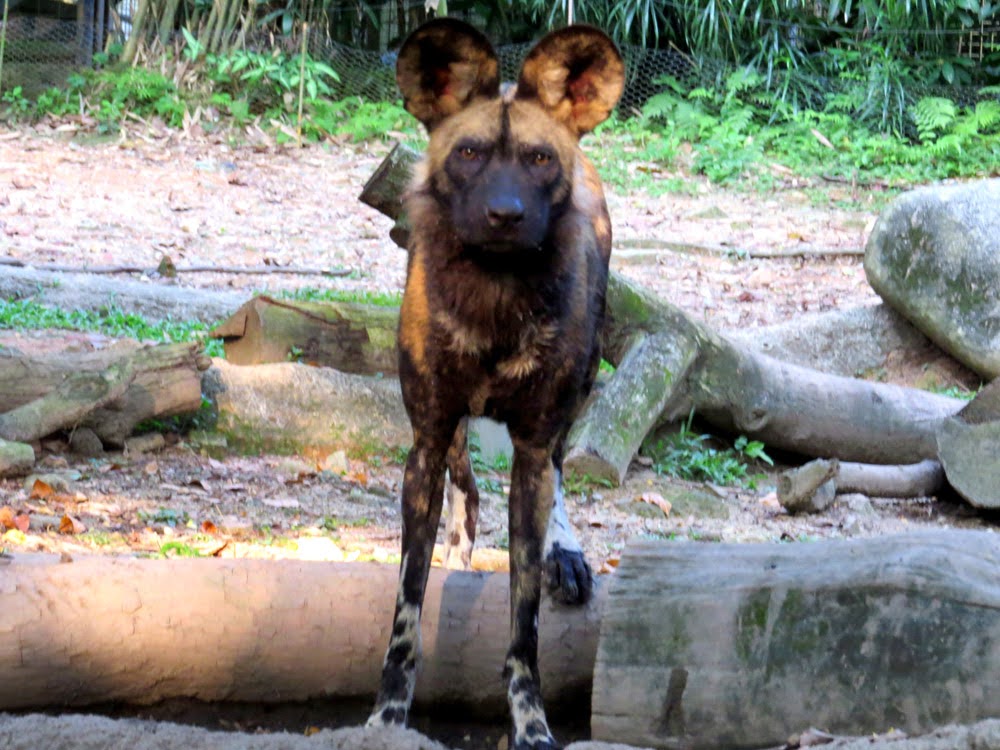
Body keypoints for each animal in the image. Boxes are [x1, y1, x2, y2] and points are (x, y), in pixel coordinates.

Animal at [366, 19, 616, 750]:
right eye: (470, 152)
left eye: (539, 159)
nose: (505, 214)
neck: (494, 298)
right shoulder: (425, 437)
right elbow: (406, 617)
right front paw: (386, 720)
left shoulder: (533, 449)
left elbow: (523, 632)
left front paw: (531, 727)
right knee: (463, 475)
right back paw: (460, 541)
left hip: (577, 392)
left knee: (556, 470)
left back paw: (564, 553)